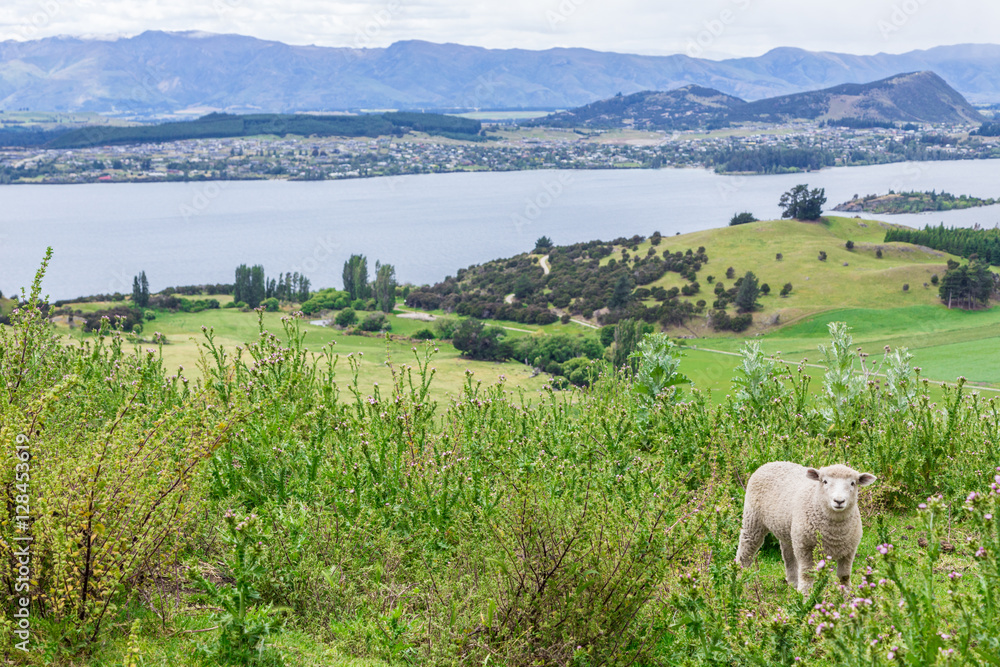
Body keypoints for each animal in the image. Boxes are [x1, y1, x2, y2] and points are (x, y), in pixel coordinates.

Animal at [735, 461, 876, 593]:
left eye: (853, 483)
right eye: (825, 481)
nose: (839, 501)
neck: (835, 531)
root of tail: (771, 462)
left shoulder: (849, 551)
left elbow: (844, 576)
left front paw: (846, 596)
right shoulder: (805, 547)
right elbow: (807, 574)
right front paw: (804, 596)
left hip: (789, 530)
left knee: (788, 555)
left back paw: (793, 584)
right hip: (753, 519)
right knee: (745, 551)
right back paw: (741, 581)